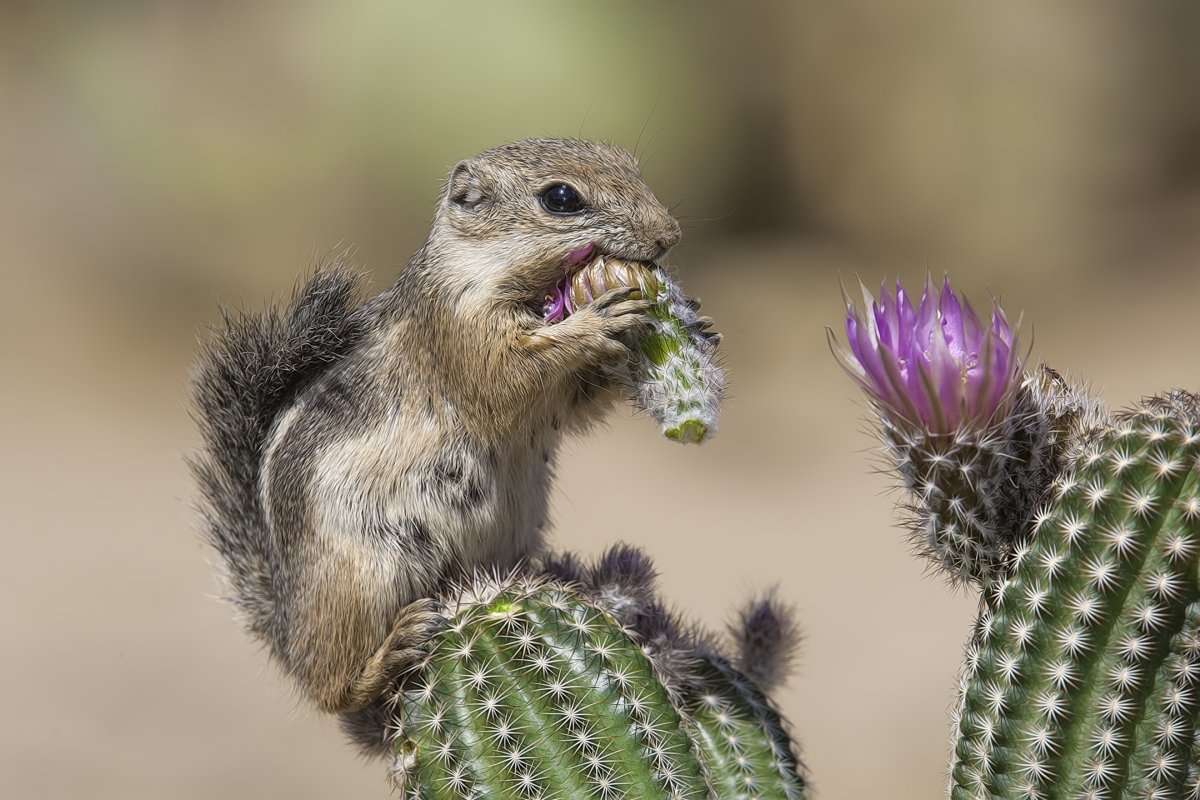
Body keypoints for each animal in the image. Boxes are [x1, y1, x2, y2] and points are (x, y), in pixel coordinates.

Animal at [188, 137, 686, 724]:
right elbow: (507, 376)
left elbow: (576, 402)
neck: (478, 267)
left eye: (629, 163)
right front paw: (597, 321)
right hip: (359, 584)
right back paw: (389, 652)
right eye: (561, 198)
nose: (669, 235)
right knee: (330, 691)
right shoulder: (459, 330)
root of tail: (286, 630)